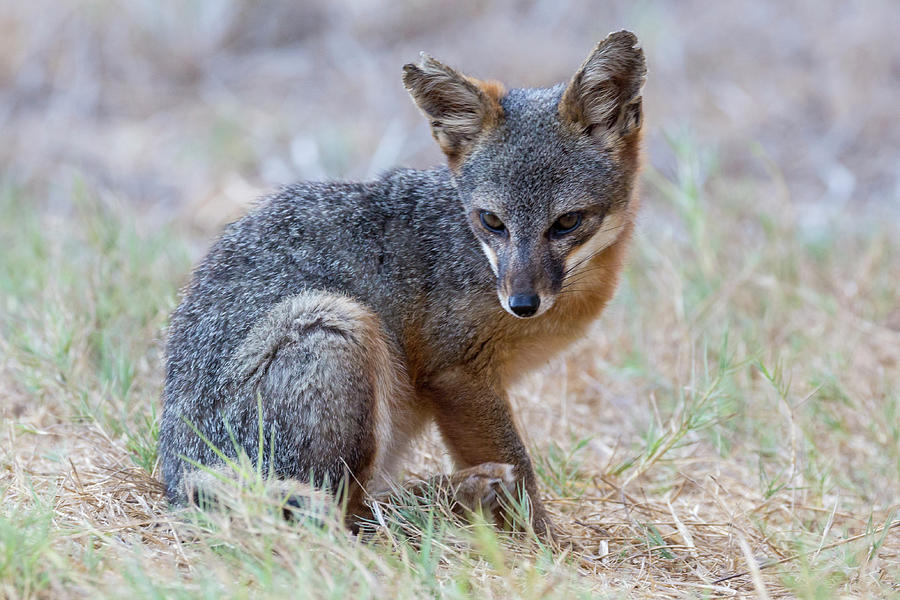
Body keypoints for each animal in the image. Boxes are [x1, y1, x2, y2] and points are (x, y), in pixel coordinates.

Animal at [158, 29, 644, 536]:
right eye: (492, 222)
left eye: (567, 222)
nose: (522, 303)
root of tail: (177, 476)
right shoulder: (458, 373)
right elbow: (521, 468)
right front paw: (544, 542)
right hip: (338, 324)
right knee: (348, 513)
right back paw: (458, 494)